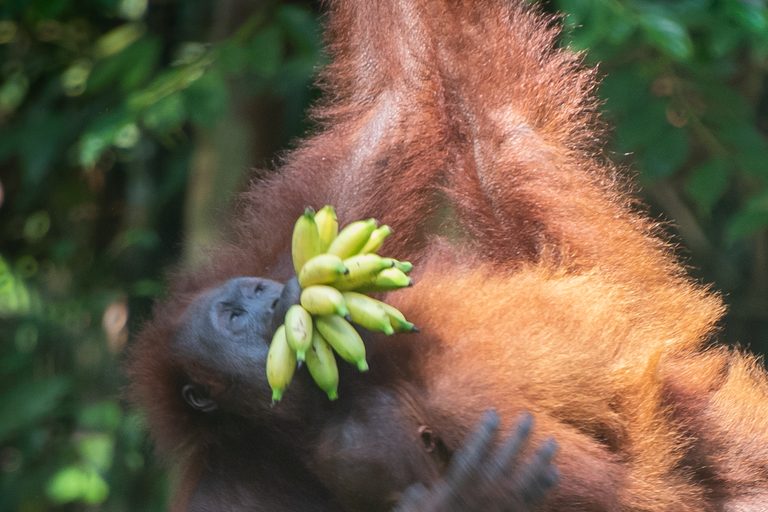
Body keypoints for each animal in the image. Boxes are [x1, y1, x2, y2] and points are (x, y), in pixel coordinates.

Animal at [128, 0, 768, 510]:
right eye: (233, 318)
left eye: (248, 296)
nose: (263, 296)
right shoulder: (264, 477)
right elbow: (622, 493)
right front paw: (475, 491)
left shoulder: (285, 251)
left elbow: (392, 103)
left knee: (496, 132)